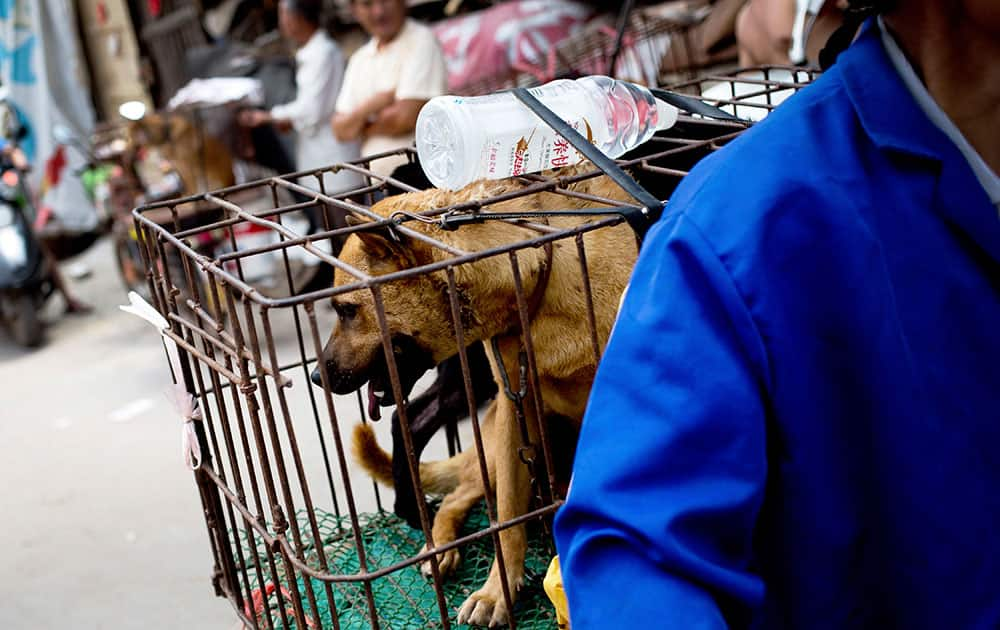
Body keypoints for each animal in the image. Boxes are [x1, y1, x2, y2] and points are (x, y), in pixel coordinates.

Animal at [314, 168, 640, 628]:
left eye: (346, 310)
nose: (314, 377)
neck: (538, 275)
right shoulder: (512, 409)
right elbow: (507, 519)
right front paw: (496, 592)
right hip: (492, 453)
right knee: (454, 499)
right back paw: (439, 548)